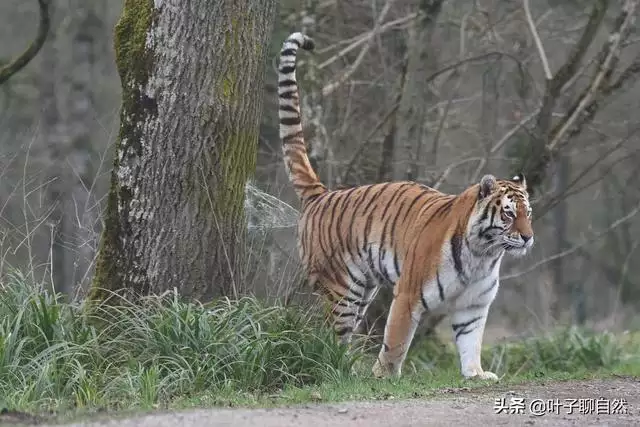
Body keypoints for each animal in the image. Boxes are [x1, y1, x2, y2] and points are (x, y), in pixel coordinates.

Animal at [278, 32, 532, 382]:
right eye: (509, 213)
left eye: (528, 213)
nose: (528, 237)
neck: (483, 254)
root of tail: (321, 195)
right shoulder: (409, 295)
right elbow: (396, 341)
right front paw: (384, 376)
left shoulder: (474, 306)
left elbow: (471, 341)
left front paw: (476, 374)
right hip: (340, 289)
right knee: (329, 332)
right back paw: (337, 370)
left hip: (363, 290)